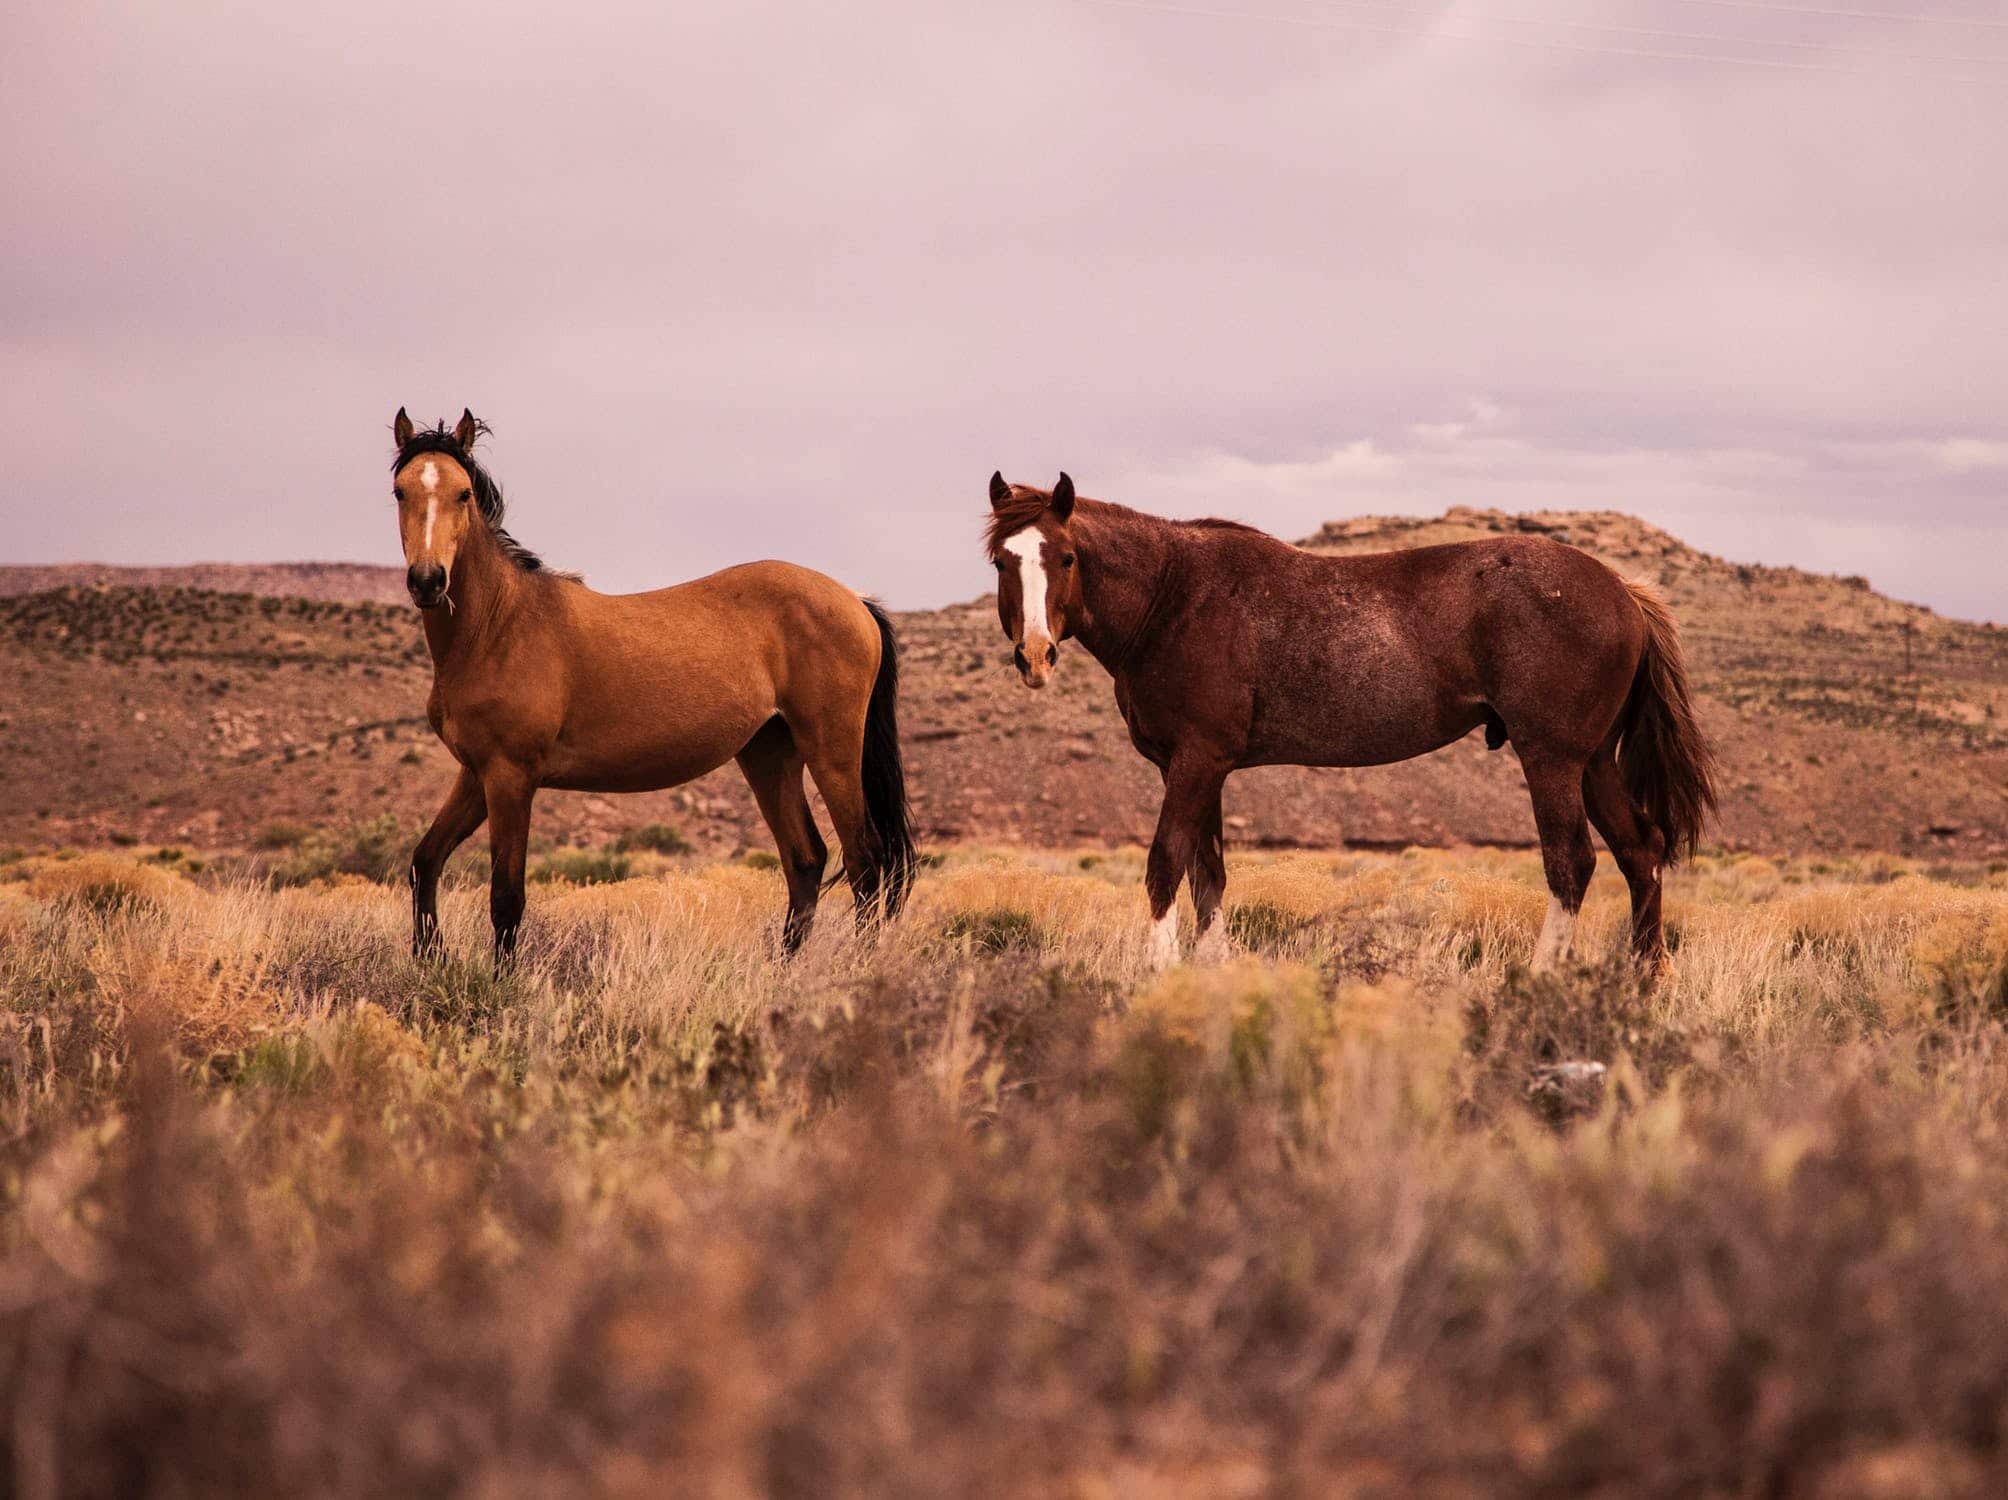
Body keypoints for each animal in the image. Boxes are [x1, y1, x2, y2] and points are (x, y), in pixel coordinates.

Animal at [385, 407, 919, 963]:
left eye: (463, 493)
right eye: (400, 491)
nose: (428, 580)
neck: (499, 625)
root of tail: (854, 600)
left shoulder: (510, 777)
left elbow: (507, 898)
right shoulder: (477, 774)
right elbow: (424, 862)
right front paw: (430, 958)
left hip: (832, 751)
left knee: (865, 862)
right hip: (769, 753)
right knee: (806, 858)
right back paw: (784, 969)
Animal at [979, 475, 1718, 979]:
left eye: (1066, 557)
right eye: (1001, 562)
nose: (1035, 655)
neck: (1172, 596)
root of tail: (1623, 592)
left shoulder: (1193, 763)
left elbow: (1166, 864)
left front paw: (1159, 973)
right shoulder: (1203, 769)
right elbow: (1208, 876)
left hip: (1553, 760)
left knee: (1573, 863)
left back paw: (1541, 980)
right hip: (1593, 763)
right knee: (1641, 852)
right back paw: (1642, 983)